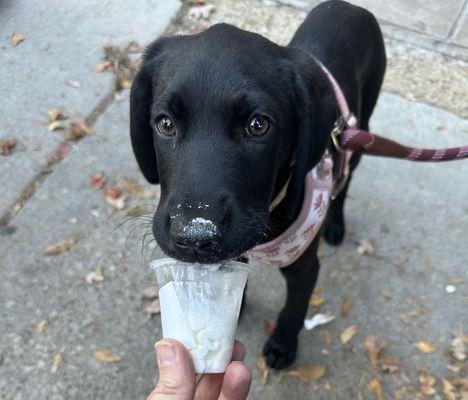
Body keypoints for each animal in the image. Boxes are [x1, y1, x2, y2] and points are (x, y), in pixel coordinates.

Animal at [130, 0, 386, 368]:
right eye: (165, 123)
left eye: (258, 125)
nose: (195, 237)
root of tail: (349, 6)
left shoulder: (305, 268)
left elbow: (294, 309)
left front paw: (282, 345)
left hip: (360, 131)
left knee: (346, 179)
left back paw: (336, 224)